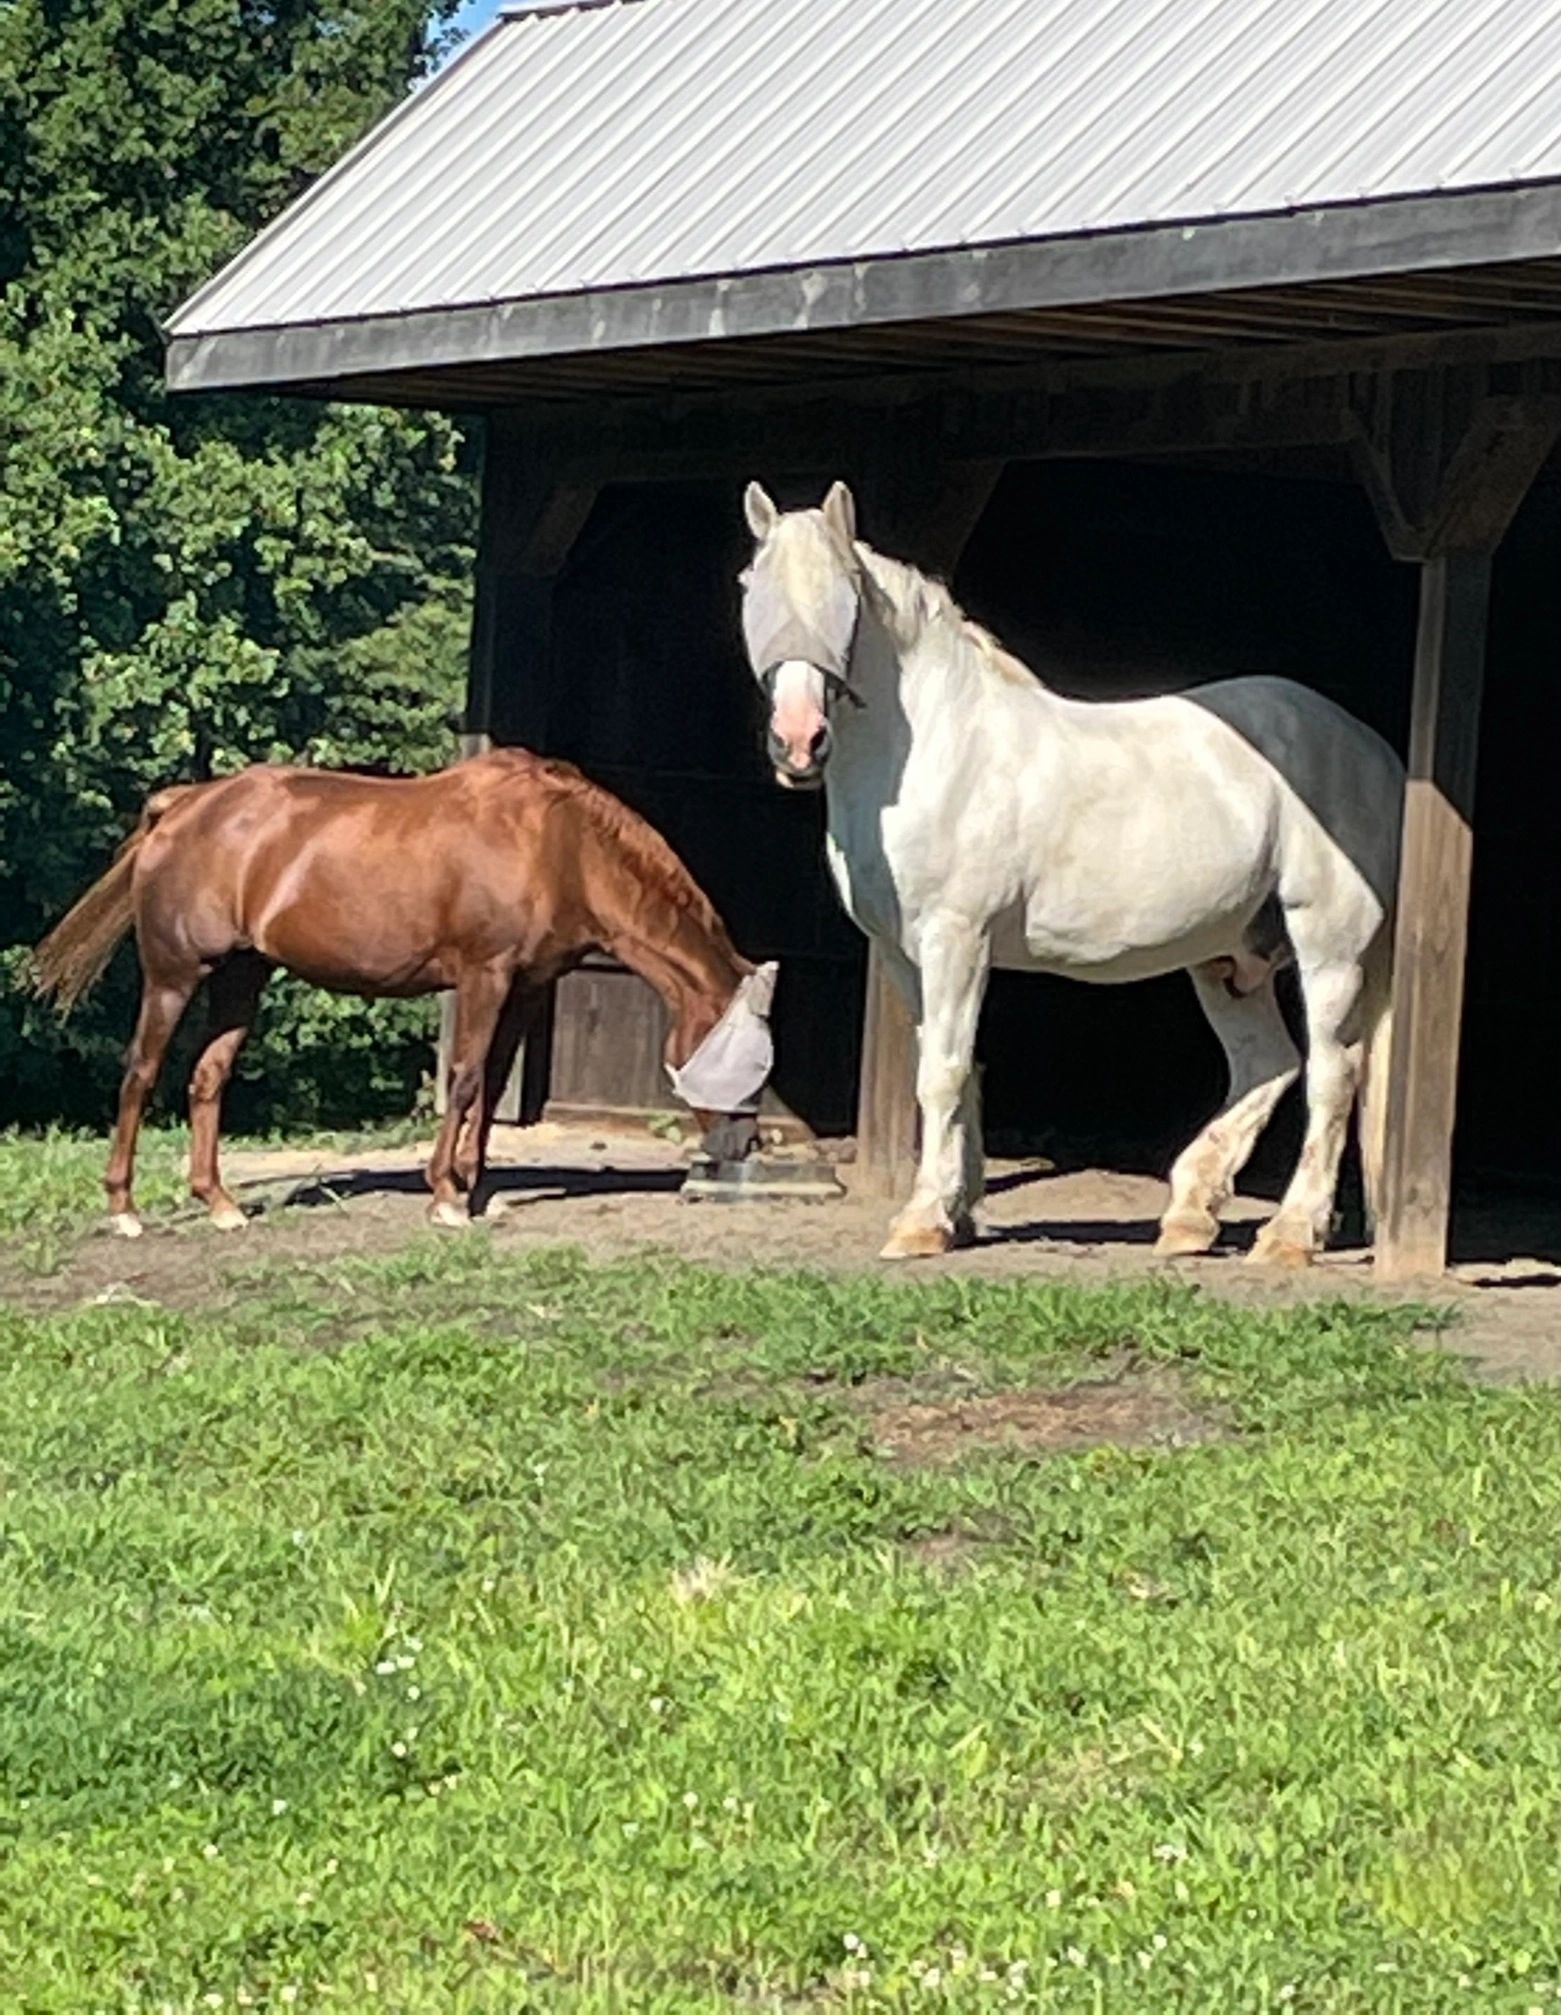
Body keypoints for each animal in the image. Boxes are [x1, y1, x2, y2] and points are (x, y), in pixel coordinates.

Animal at [32, 748, 777, 1235]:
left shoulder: (527, 986)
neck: (559, 845)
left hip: (242, 976)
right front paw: (445, 1195)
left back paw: (219, 1204)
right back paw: (123, 1209)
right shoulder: (484, 974)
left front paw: (474, 1188)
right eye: (744, 1054)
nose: (743, 1145)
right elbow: (466, 1076)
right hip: (176, 974)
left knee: (207, 1078)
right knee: (140, 1073)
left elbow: (491, 1082)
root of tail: (181, 806)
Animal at [738, 480, 1403, 1267]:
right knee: (1267, 1064)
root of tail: (1373, 752)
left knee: (1333, 1075)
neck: (938, 747)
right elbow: (951, 1065)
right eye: (751, 587)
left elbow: (943, 1074)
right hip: (1226, 960)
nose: (797, 741)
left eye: (844, 593)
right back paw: (1188, 1217)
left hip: (1328, 947)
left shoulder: (956, 940)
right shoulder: (905, 954)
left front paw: (921, 1223)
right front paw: (957, 1211)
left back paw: (1289, 1233)